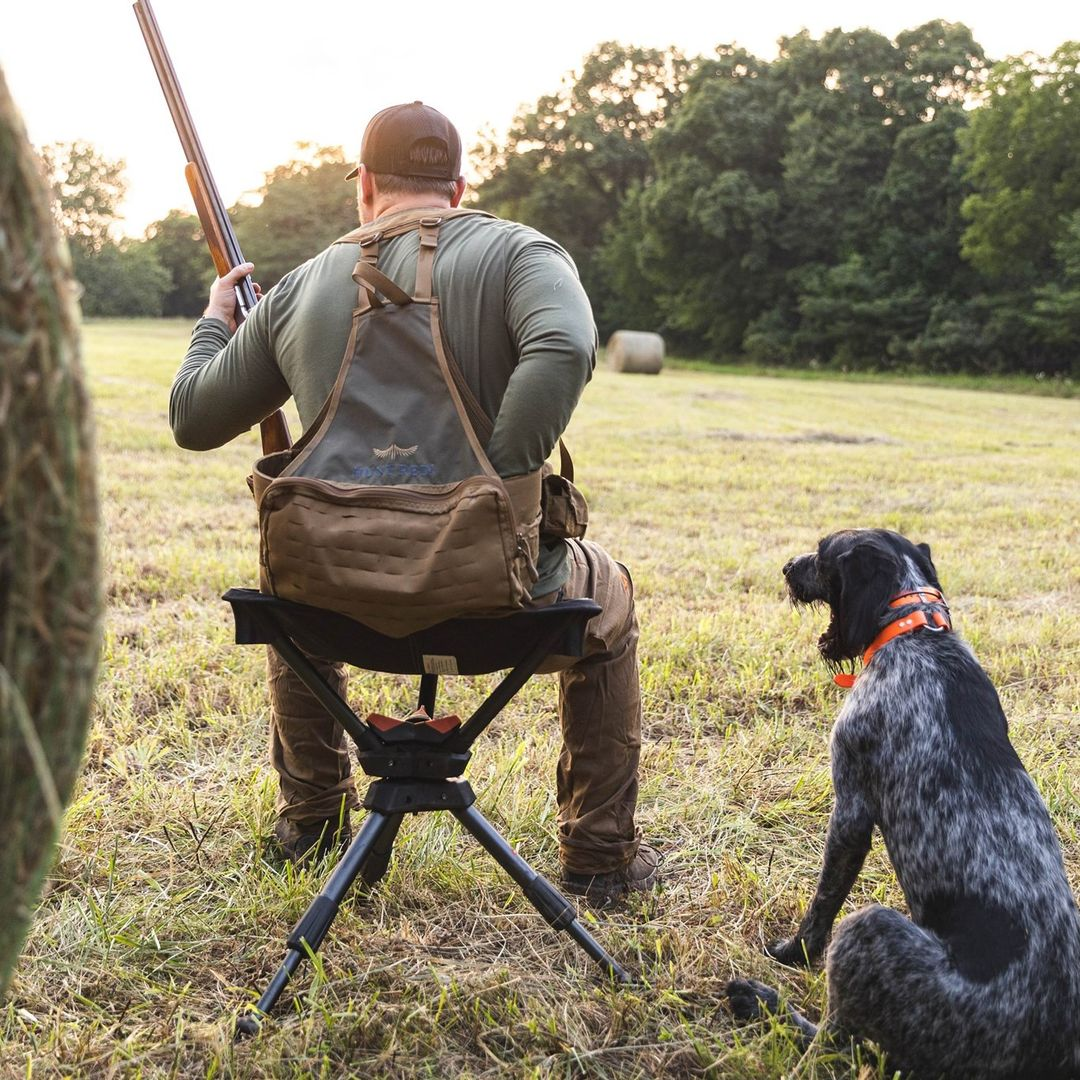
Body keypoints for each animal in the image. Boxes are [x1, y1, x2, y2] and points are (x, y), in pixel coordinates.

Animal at [725, 531, 1080, 1080]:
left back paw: (761, 1002)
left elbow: (823, 901)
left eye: (823, 553)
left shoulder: (851, 806)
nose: (786, 567)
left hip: (868, 933)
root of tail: (1050, 1049)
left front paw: (791, 954)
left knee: (832, 1045)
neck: (916, 634)